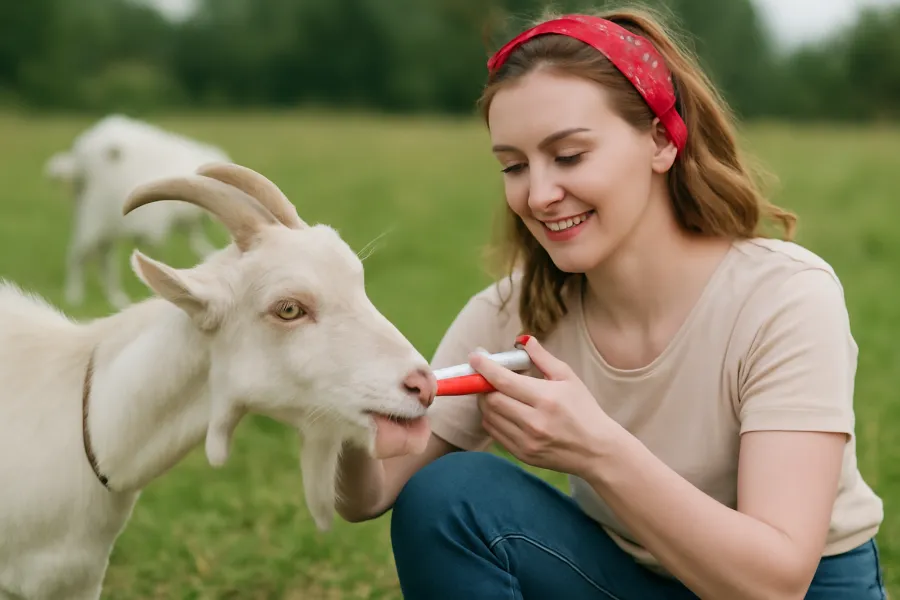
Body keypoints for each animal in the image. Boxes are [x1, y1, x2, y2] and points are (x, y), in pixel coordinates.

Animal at [44, 114, 229, 310]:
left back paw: (116, 298)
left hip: (99, 221)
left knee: (103, 258)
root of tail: (80, 157)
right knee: (81, 253)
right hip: (93, 216)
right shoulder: (153, 227)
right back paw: (75, 296)